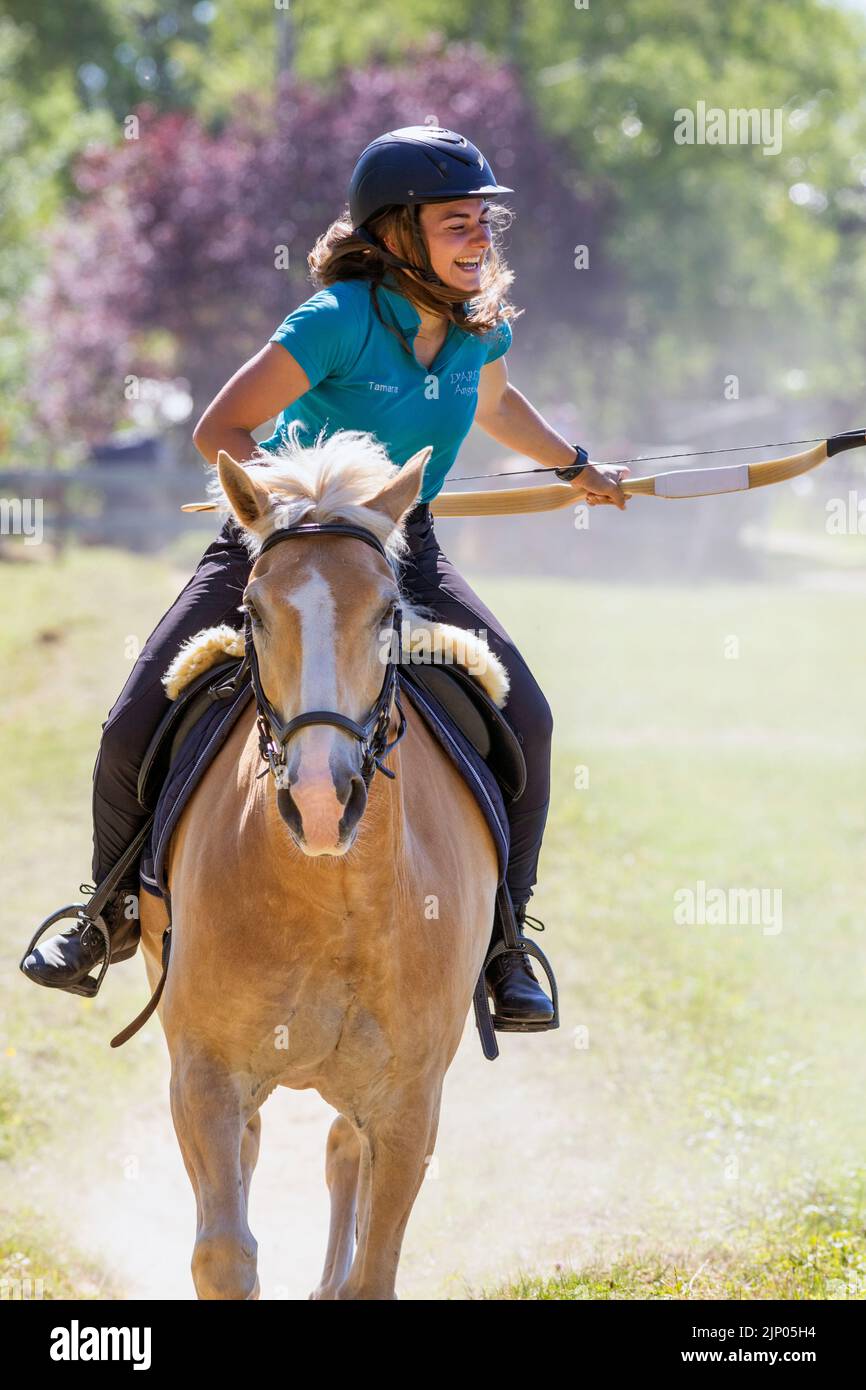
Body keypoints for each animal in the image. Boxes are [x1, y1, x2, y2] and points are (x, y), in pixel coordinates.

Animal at [139, 428, 505, 1295]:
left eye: (387, 614)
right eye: (252, 612)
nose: (317, 797)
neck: (332, 901)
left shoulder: (409, 1104)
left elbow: (373, 1271)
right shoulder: (203, 1072)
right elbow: (223, 1252)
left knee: (343, 1153)